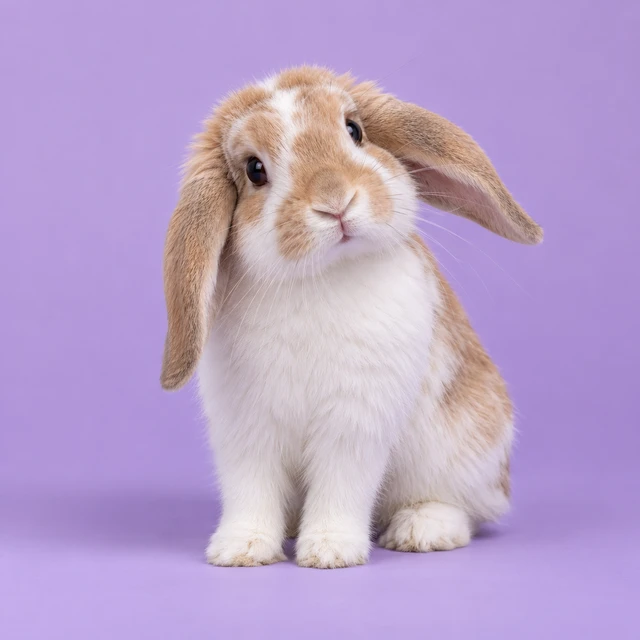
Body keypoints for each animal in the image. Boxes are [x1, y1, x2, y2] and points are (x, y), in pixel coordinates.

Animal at [160, 66, 543, 569]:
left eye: (354, 130)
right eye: (254, 169)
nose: (335, 200)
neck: (321, 276)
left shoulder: (354, 422)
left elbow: (341, 484)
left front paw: (329, 551)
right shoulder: (246, 427)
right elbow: (251, 489)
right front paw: (240, 549)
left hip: (467, 450)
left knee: (468, 510)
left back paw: (421, 530)